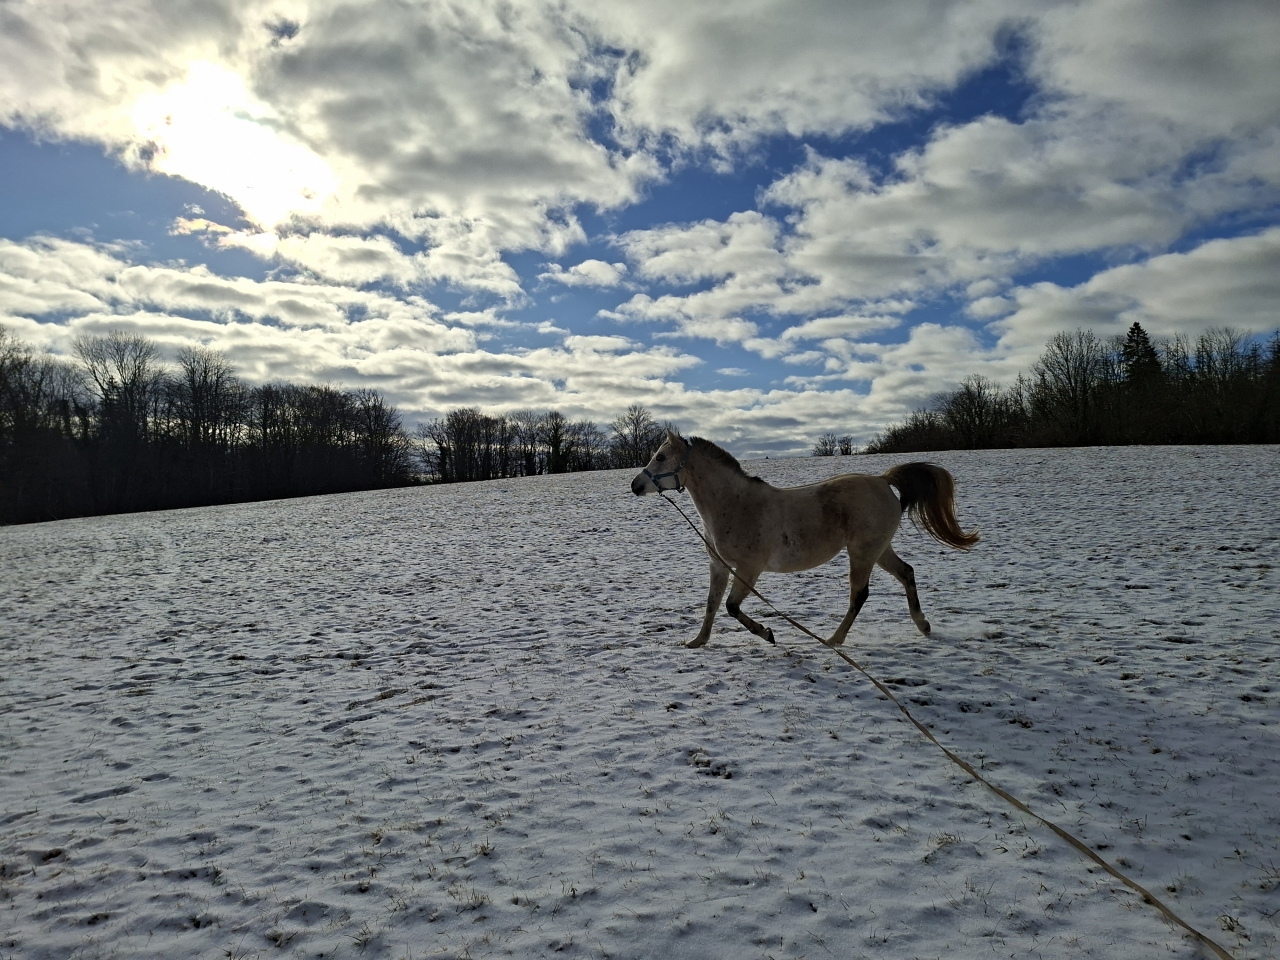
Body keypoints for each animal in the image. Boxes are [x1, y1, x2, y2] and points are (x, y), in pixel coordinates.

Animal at [631, 430, 978, 649]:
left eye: (660, 457)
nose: (635, 486)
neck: (734, 505)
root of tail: (882, 481)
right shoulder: (719, 567)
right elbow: (712, 605)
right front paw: (697, 642)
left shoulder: (749, 569)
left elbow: (731, 607)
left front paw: (767, 633)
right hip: (879, 550)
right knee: (906, 573)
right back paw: (923, 625)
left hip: (862, 553)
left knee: (859, 596)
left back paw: (834, 640)